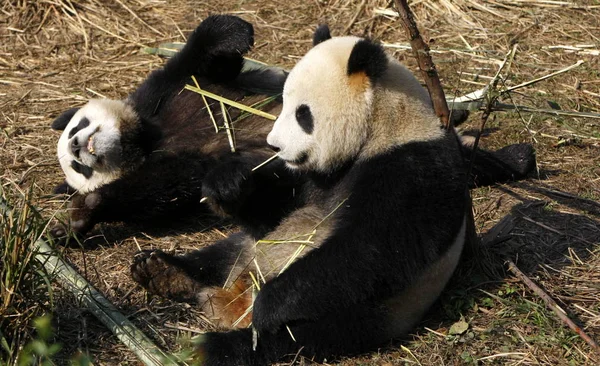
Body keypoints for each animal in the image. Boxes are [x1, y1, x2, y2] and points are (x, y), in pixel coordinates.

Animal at [130, 27, 536, 364]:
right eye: (283, 103)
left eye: (302, 113)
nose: (274, 145)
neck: (382, 128)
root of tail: (233, 298)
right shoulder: (312, 178)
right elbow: (274, 211)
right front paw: (227, 183)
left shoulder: (411, 170)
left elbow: (372, 251)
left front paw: (270, 303)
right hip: (248, 251)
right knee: (222, 253)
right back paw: (163, 272)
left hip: (367, 311)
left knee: (299, 337)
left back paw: (218, 343)